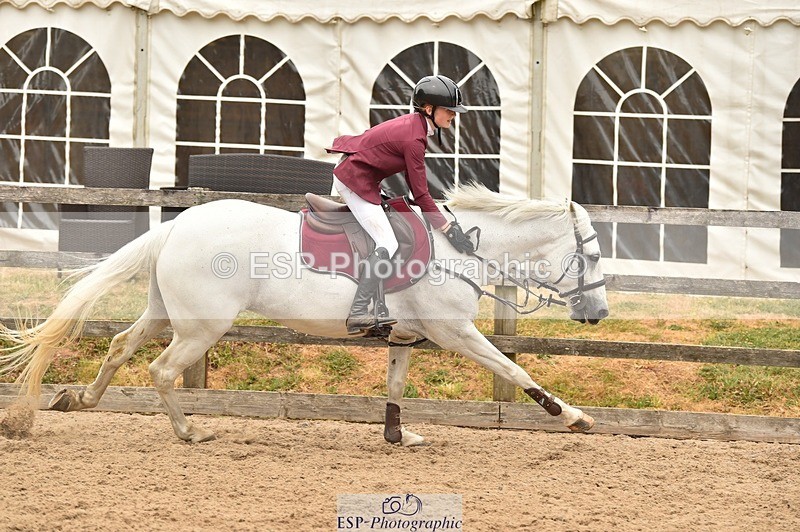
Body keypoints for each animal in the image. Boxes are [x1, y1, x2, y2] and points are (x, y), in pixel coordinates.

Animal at [0, 184, 608, 445]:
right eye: (594, 256)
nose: (599, 313)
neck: (463, 247)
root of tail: (176, 224)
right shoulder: (454, 332)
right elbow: (515, 369)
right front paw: (573, 417)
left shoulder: (404, 336)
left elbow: (396, 386)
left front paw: (397, 437)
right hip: (202, 326)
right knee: (161, 370)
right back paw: (190, 431)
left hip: (164, 312)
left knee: (120, 346)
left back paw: (79, 399)